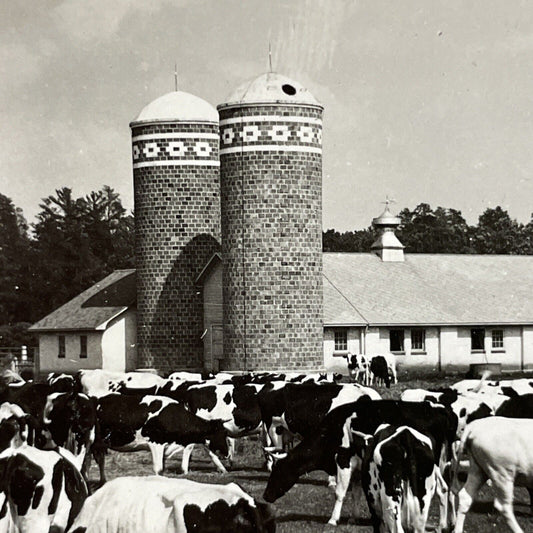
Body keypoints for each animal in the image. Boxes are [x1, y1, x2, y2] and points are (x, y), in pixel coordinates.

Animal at [93, 390, 229, 482]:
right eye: (219, 434)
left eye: (225, 433)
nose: (227, 454)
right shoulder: (155, 443)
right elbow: (158, 469)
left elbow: (162, 469)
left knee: (100, 461)